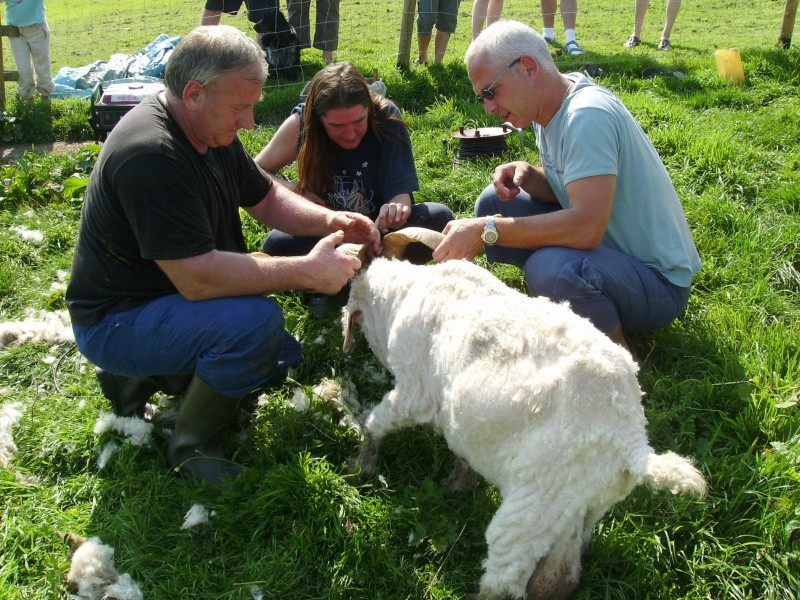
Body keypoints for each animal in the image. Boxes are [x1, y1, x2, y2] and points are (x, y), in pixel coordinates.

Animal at [344, 258, 708, 600]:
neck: (404, 295)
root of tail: (633, 446)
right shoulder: (457, 418)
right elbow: (462, 449)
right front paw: (459, 482)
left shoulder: (414, 394)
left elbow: (378, 421)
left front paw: (363, 464)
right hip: (574, 507)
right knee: (563, 570)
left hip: (533, 508)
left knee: (506, 579)